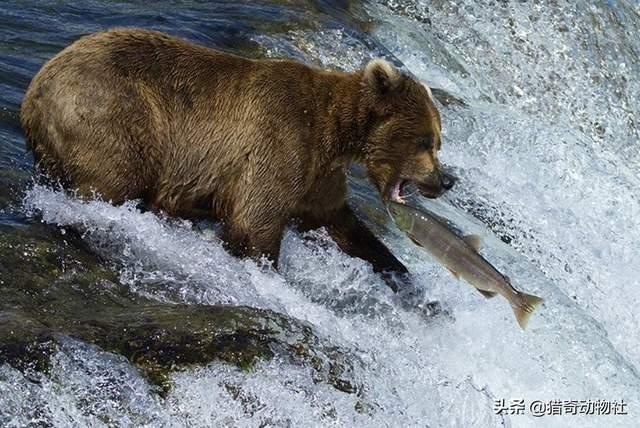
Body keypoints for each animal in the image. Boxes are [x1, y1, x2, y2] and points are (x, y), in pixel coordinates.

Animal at [18, 29, 450, 284]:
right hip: (114, 113)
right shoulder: (282, 141)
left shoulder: (320, 176)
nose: (445, 180)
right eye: (425, 140)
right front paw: (268, 271)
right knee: (111, 181)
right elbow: (255, 222)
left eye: (438, 140)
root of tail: (34, 92)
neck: (336, 133)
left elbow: (342, 223)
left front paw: (407, 278)